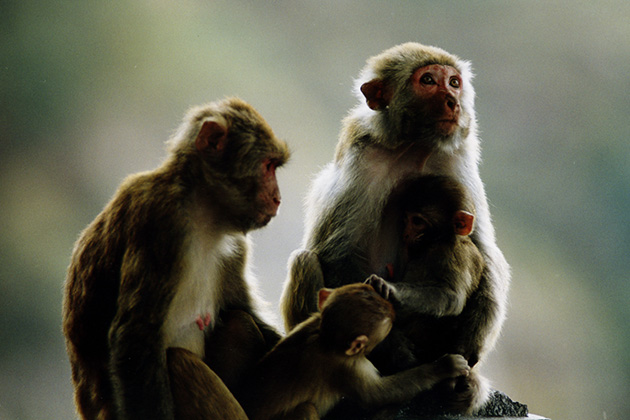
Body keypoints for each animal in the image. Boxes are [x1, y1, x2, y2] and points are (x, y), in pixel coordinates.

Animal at [64, 97, 292, 420]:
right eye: (268, 166)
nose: (277, 198)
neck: (202, 210)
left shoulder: (234, 245)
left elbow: (240, 308)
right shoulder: (162, 221)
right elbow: (135, 338)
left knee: (238, 323)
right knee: (177, 362)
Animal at [239, 282, 472, 420]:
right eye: (388, 327)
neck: (325, 338)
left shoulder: (310, 321)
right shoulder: (349, 367)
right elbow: (379, 394)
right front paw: (444, 366)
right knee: (306, 408)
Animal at [284, 42, 512, 414]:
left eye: (454, 82)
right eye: (428, 80)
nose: (453, 101)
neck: (414, 147)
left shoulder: (456, 161)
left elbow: (481, 249)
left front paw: (467, 356)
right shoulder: (362, 161)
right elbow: (337, 255)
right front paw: (397, 351)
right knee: (305, 260)